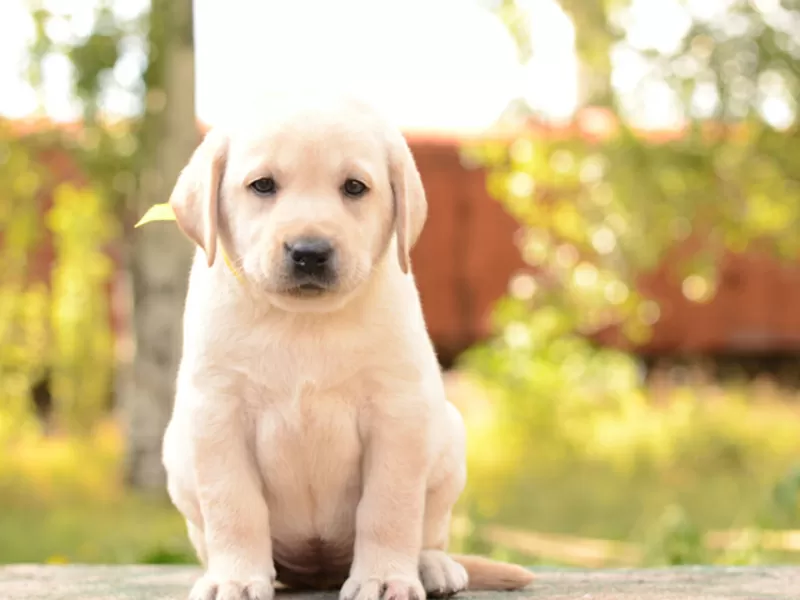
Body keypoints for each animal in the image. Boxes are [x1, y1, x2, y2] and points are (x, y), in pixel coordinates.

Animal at [159, 90, 536, 600]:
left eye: (355, 188)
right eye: (262, 186)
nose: (309, 251)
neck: (303, 322)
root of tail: (319, 570)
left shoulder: (397, 411)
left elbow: (389, 507)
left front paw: (384, 577)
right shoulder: (217, 411)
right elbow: (234, 506)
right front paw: (235, 578)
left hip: (449, 437)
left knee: (429, 530)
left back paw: (432, 567)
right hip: (177, 454)